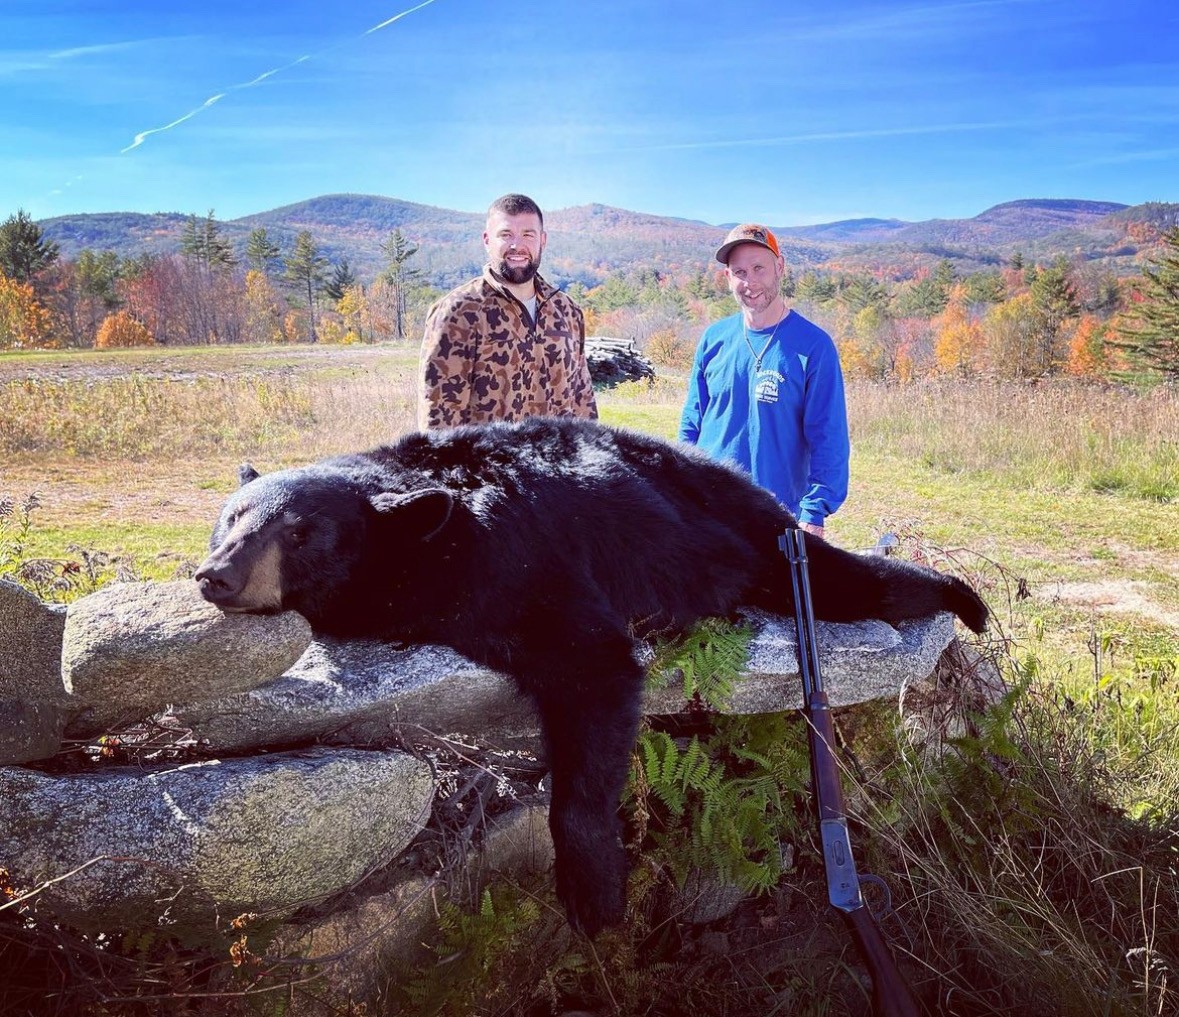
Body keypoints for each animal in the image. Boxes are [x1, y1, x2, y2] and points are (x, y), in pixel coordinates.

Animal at [195, 416, 987, 936]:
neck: (430, 540)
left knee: (844, 581)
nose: (216, 574)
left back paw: (963, 600)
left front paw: (593, 892)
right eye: (231, 517)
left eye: (299, 531)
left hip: (747, 531)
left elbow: (593, 669)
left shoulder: (518, 563)